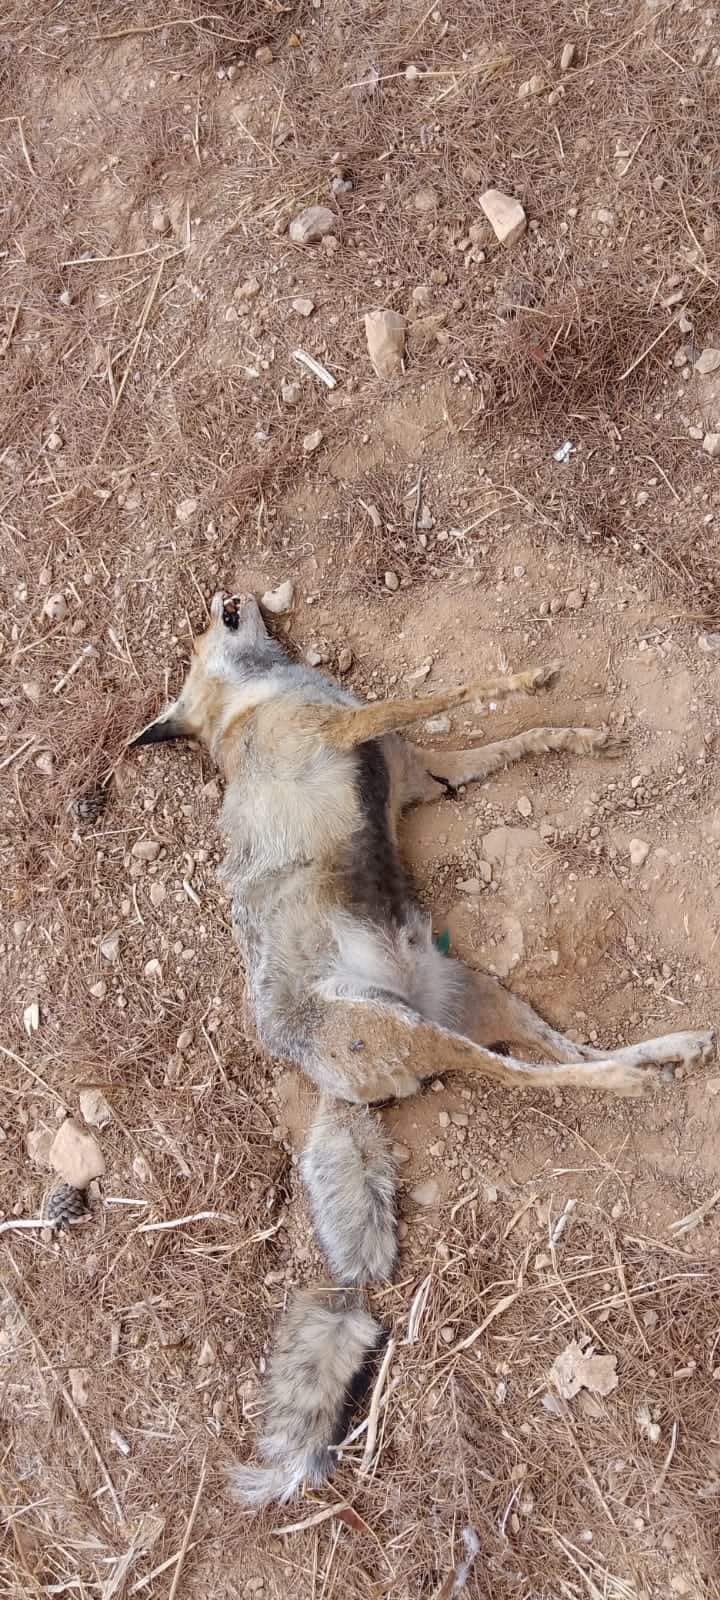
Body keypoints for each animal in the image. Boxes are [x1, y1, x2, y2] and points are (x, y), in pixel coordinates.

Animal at [131, 589, 715, 1505]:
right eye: (202, 636)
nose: (226, 594)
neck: (249, 708)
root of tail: (315, 1076)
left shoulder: (424, 774)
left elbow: (513, 740)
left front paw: (579, 736)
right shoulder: (361, 728)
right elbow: (449, 694)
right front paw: (530, 676)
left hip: (482, 995)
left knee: (564, 1053)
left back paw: (673, 1050)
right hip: (432, 1029)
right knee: (533, 1078)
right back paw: (639, 1082)